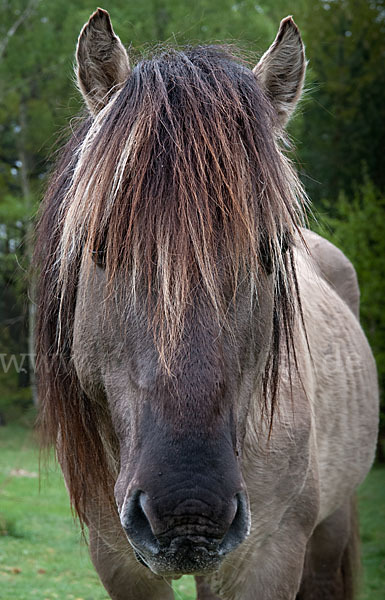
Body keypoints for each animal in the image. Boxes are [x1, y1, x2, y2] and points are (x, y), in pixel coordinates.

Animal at [34, 9, 376, 600]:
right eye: (101, 245)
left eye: (271, 249)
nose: (188, 511)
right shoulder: (118, 560)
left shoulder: (266, 557)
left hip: (329, 530)